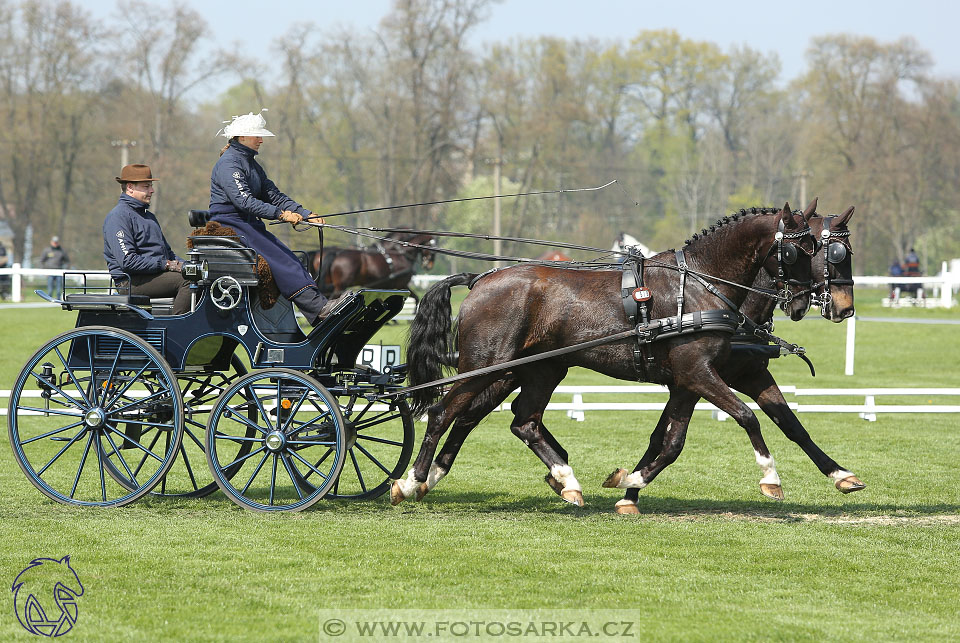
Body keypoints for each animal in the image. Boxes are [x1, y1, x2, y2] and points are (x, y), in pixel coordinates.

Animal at [306, 230, 436, 306]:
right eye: (432, 247)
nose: (429, 266)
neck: (400, 254)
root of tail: (337, 253)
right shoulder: (401, 284)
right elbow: (416, 298)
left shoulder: (387, 286)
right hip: (340, 286)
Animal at [390, 201, 816, 508]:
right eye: (797, 251)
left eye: (819, 248)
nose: (804, 301)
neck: (698, 285)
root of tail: (480, 278)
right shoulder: (698, 373)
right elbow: (746, 417)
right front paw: (770, 478)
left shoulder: (689, 379)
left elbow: (673, 440)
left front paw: (629, 482)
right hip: (484, 367)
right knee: (444, 413)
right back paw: (411, 482)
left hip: (539, 371)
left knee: (521, 421)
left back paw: (566, 481)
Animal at [608, 205, 864, 512]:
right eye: (835, 252)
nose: (845, 308)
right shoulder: (695, 378)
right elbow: (668, 438)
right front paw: (630, 489)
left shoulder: (748, 374)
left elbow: (792, 424)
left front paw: (841, 474)